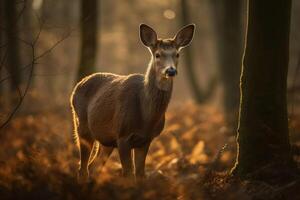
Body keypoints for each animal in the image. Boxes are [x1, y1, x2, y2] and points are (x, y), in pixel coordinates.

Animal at [70, 23, 195, 181]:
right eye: (157, 54)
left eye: (177, 54)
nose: (171, 70)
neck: (146, 117)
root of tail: (77, 86)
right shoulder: (123, 135)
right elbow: (128, 174)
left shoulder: (146, 139)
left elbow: (140, 173)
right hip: (82, 126)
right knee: (83, 168)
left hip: (106, 140)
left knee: (94, 167)